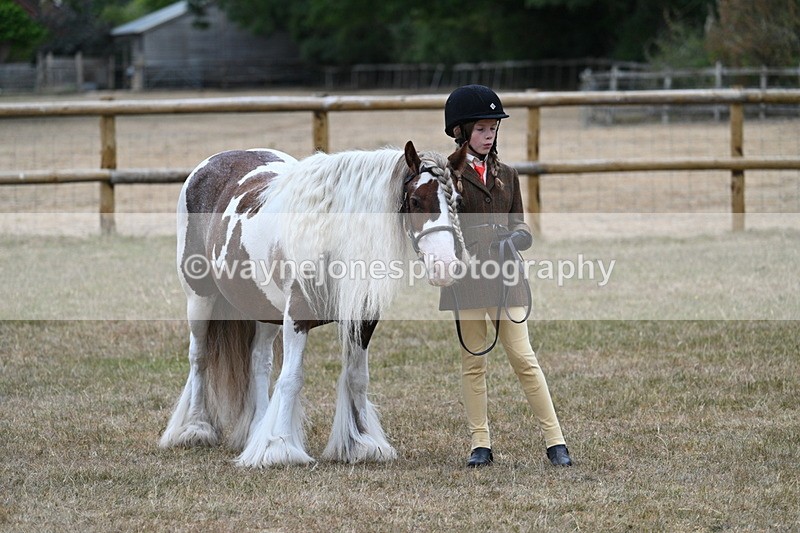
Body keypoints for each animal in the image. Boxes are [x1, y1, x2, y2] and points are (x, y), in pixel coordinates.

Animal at [159, 140, 469, 467]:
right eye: (416, 200)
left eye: (458, 201)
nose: (445, 266)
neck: (331, 240)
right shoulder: (296, 316)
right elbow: (291, 378)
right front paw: (280, 447)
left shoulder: (363, 319)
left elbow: (357, 378)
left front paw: (361, 443)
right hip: (199, 300)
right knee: (199, 356)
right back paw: (195, 428)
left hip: (264, 309)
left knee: (259, 361)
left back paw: (256, 428)